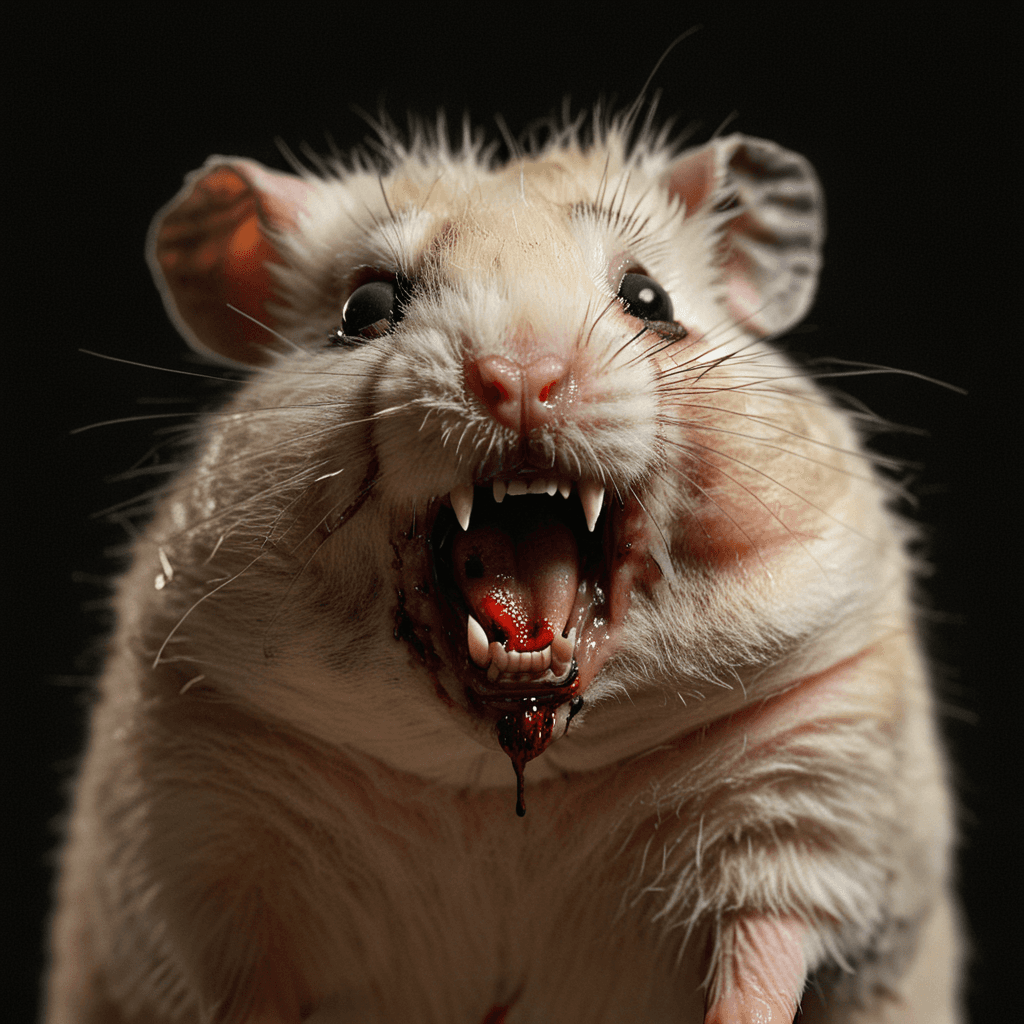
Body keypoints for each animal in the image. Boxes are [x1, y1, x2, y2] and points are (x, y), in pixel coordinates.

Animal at [43, 114, 962, 1023]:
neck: (506, 775)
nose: (521, 379)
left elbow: (763, 970)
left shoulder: (813, 797)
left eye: (651, 301)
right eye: (362, 308)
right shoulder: (206, 834)